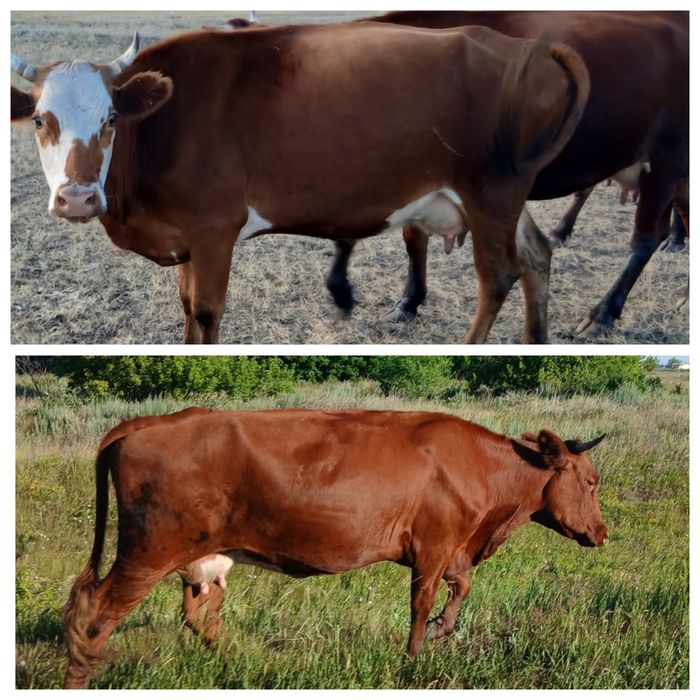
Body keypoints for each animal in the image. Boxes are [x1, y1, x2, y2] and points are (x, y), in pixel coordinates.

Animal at [11, 21, 591, 344]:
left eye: (110, 118)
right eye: (39, 119)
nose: (77, 198)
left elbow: (206, 313)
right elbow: (187, 310)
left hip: (491, 191)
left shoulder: (215, 228)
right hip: (501, 195)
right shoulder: (188, 236)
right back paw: (536, 342)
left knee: (497, 278)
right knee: (536, 255)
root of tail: (529, 48)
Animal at [63, 407, 608, 688]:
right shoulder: (434, 546)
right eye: (592, 481)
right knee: (93, 615)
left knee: (200, 616)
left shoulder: (455, 549)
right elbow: (422, 604)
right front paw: (414, 658)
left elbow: (460, 592)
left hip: (206, 557)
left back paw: (241, 662)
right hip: (147, 551)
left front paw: (440, 631)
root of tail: (150, 421)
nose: (602, 533)